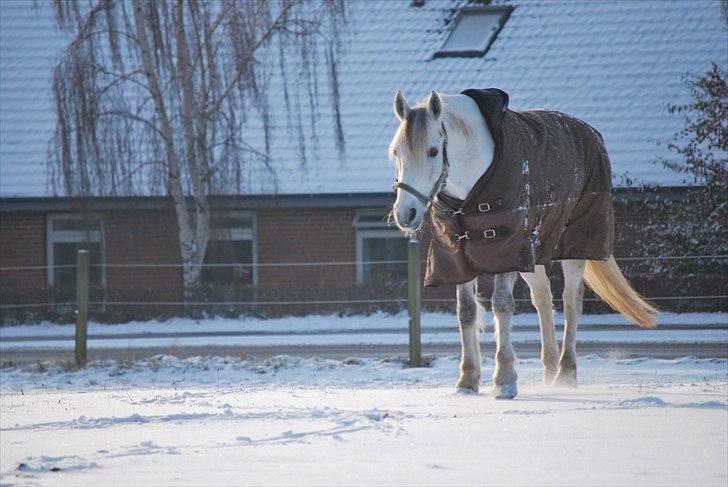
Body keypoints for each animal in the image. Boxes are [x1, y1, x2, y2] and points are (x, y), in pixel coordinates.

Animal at [390, 91, 656, 400]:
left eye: (433, 151)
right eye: (396, 152)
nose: (405, 213)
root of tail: (590, 133)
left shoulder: (508, 248)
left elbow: (502, 305)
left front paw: (504, 381)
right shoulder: (458, 257)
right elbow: (466, 312)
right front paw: (467, 381)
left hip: (575, 245)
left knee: (571, 301)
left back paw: (566, 374)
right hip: (534, 254)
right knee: (543, 299)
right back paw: (549, 373)